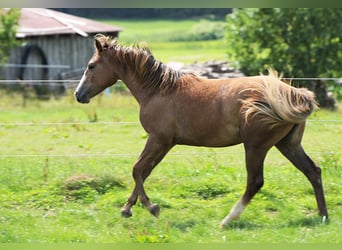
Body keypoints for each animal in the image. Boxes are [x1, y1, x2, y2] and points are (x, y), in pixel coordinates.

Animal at [74, 34, 328, 228]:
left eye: (91, 66)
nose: (79, 94)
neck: (159, 90)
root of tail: (294, 95)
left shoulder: (158, 139)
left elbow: (137, 169)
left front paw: (152, 207)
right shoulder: (166, 143)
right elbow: (144, 172)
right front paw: (127, 208)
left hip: (256, 147)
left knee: (255, 182)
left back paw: (227, 220)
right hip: (287, 144)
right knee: (313, 171)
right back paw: (323, 215)